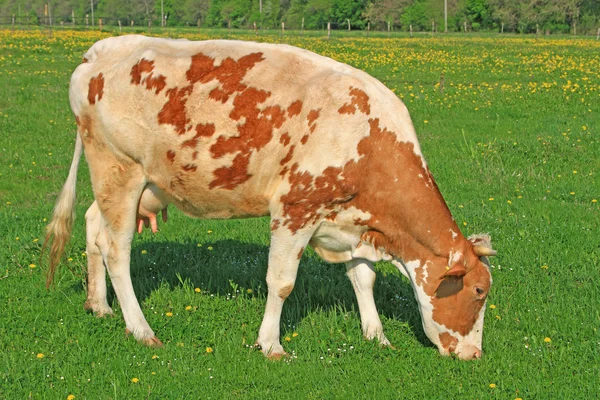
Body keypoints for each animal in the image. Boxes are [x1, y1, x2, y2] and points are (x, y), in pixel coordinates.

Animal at [44, 34, 496, 360]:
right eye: (479, 291)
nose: (474, 355)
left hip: (131, 182)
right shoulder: (296, 209)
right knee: (116, 249)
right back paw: (141, 330)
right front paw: (271, 345)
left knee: (93, 227)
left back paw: (99, 305)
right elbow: (281, 283)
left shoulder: (351, 220)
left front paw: (377, 335)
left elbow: (363, 277)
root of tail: (101, 49)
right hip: (118, 168)